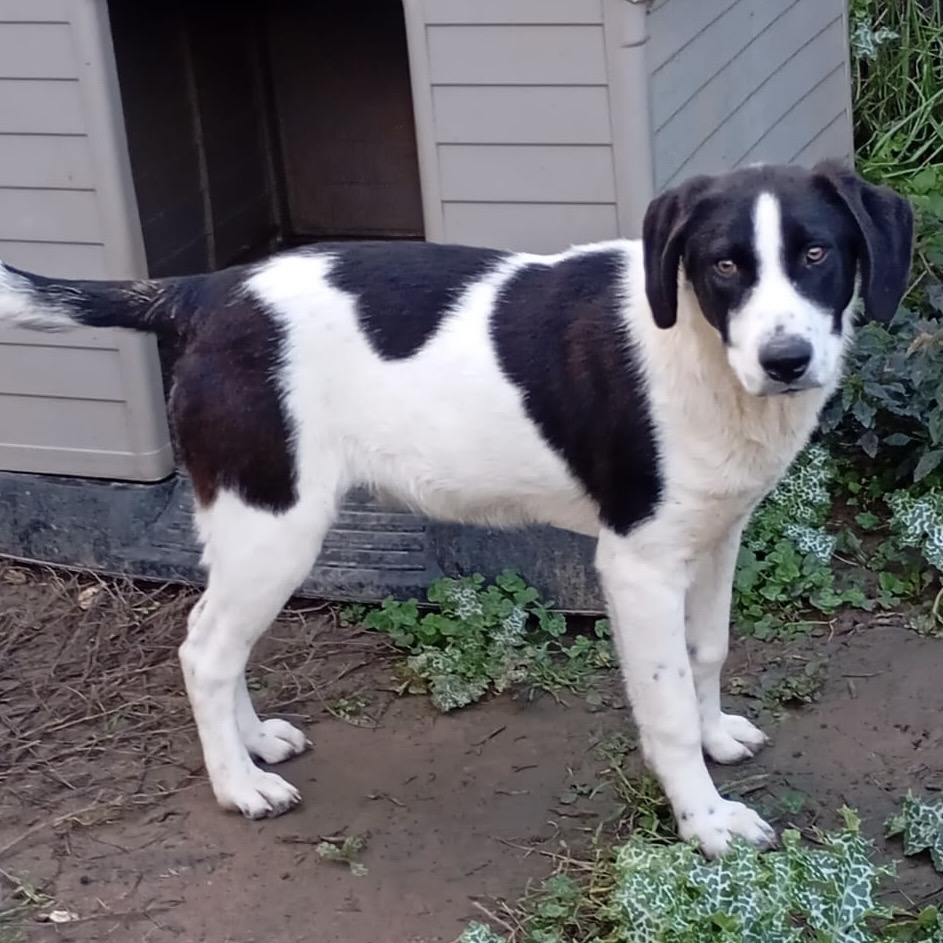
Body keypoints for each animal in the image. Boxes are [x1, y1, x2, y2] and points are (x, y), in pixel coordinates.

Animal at [0, 160, 912, 857]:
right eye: (723, 266)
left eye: (816, 252)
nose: (785, 359)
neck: (697, 346)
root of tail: (202, 293)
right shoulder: (637, 564)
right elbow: (663, 709)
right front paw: (704, 820)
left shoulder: (716, 535)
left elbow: (706, 653)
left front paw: (716, 732)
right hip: (277, 523)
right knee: (204, 650)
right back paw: (238, 786)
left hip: (248, 522)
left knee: (215, 637)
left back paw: (254, 742)